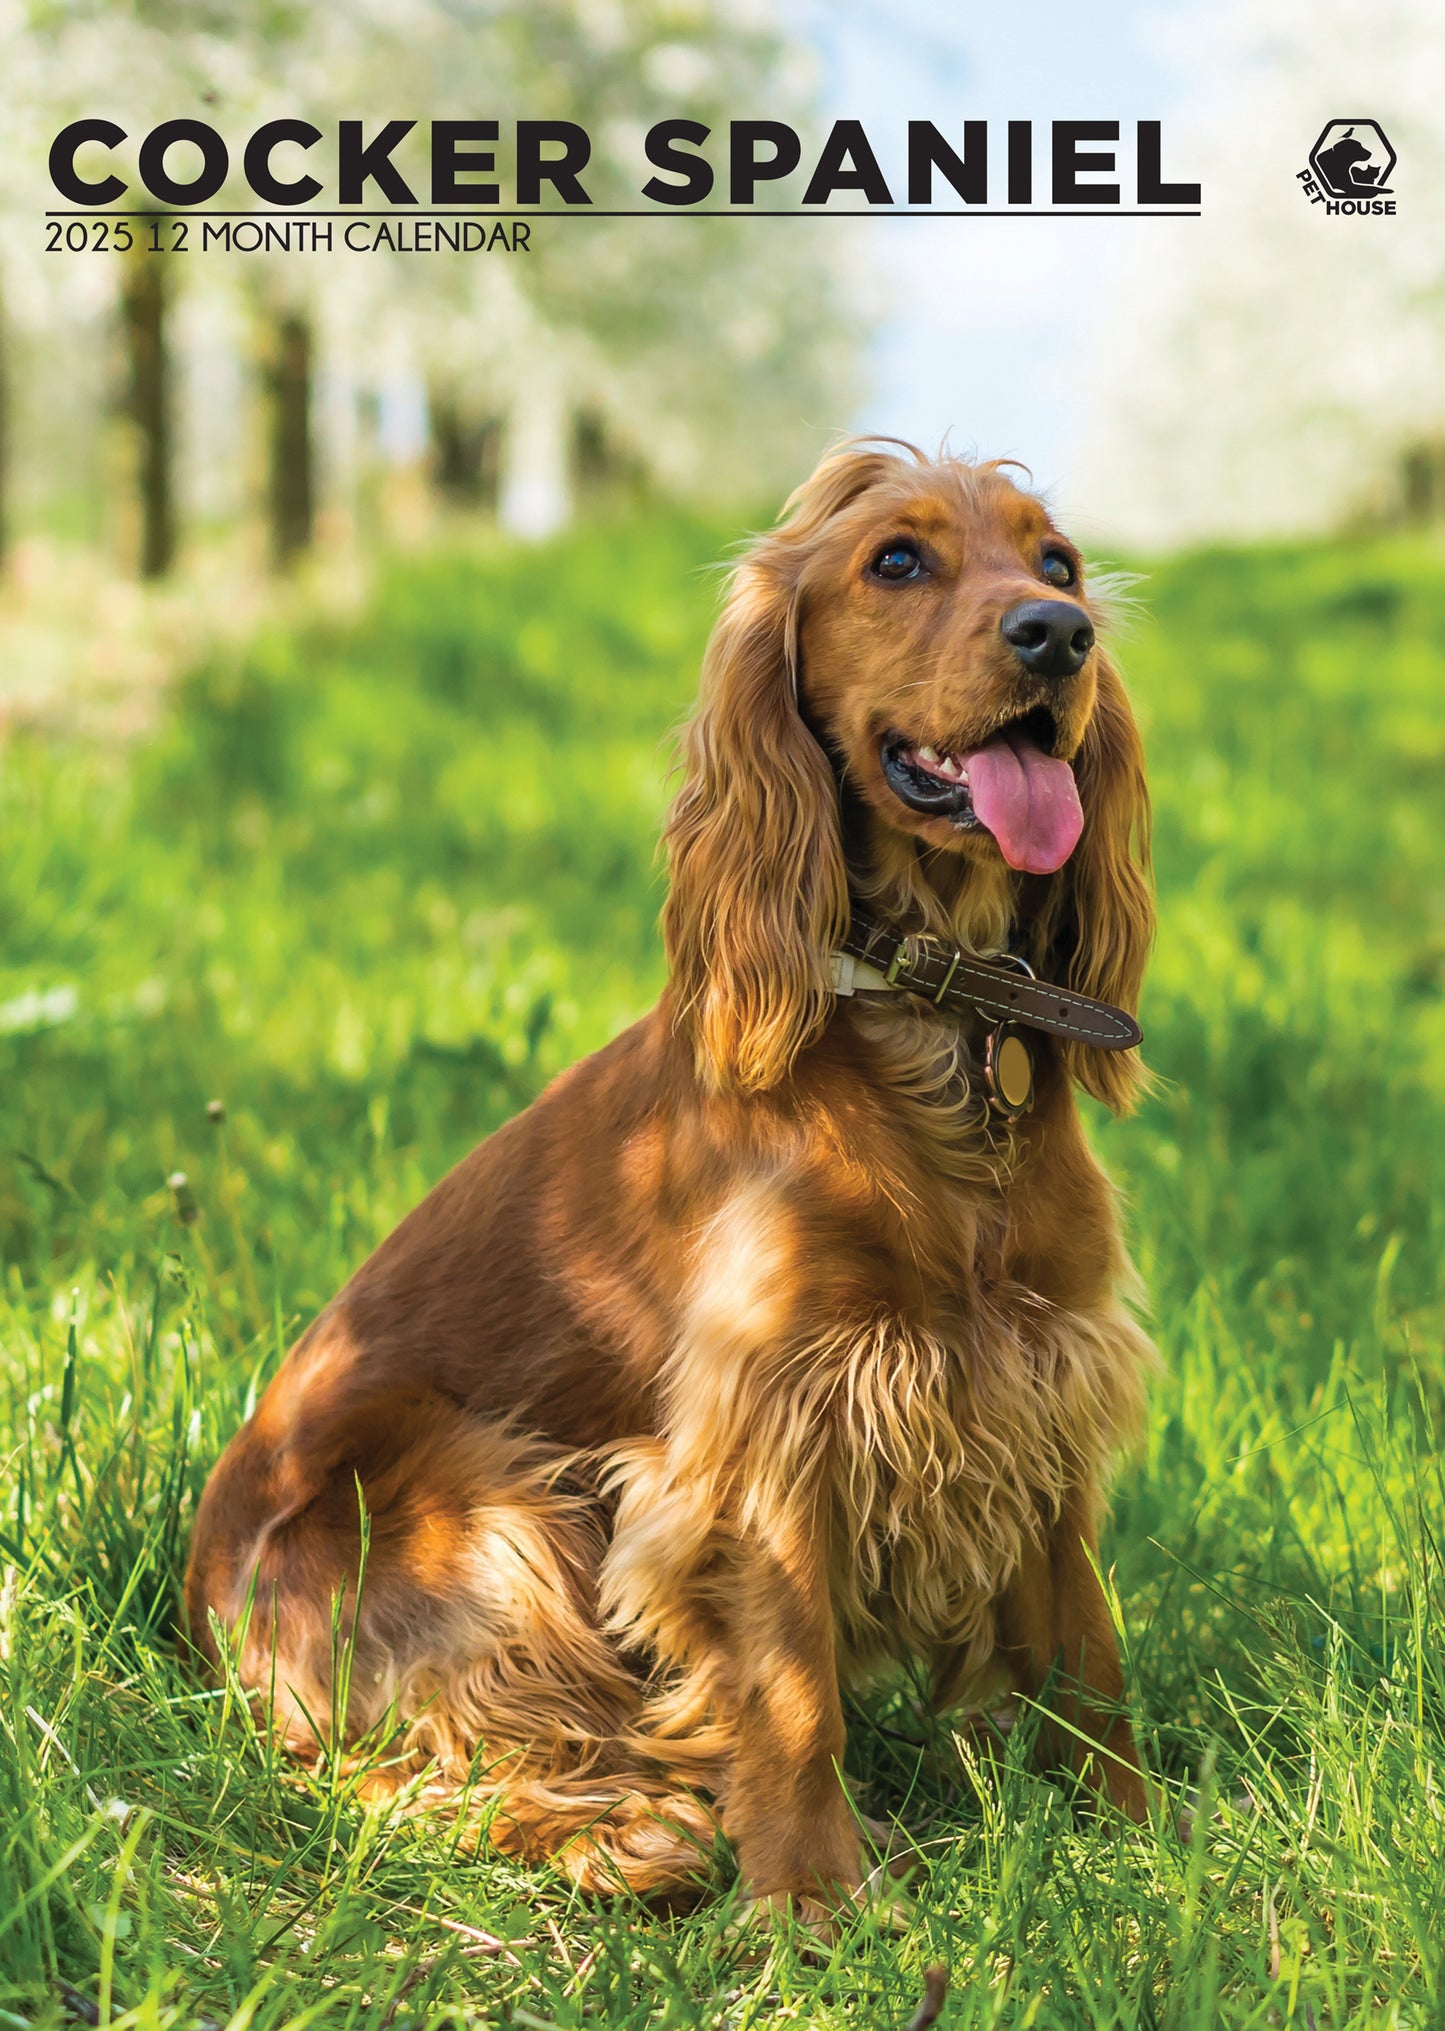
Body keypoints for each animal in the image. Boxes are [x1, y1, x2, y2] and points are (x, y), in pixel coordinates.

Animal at [186, 444, 1162, 1917]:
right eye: (895, 560)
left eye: (1055, 560)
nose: (1058, 636)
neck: (934, 1020)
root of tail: (196, 1609)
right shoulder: (772, 1420)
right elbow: (793, 1688)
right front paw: (812, 1901)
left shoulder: (1036, 1376)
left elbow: (1083, 1647)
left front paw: (1147, 1840)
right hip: (480, 1498)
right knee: (409, 1768)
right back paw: (631, 1835)